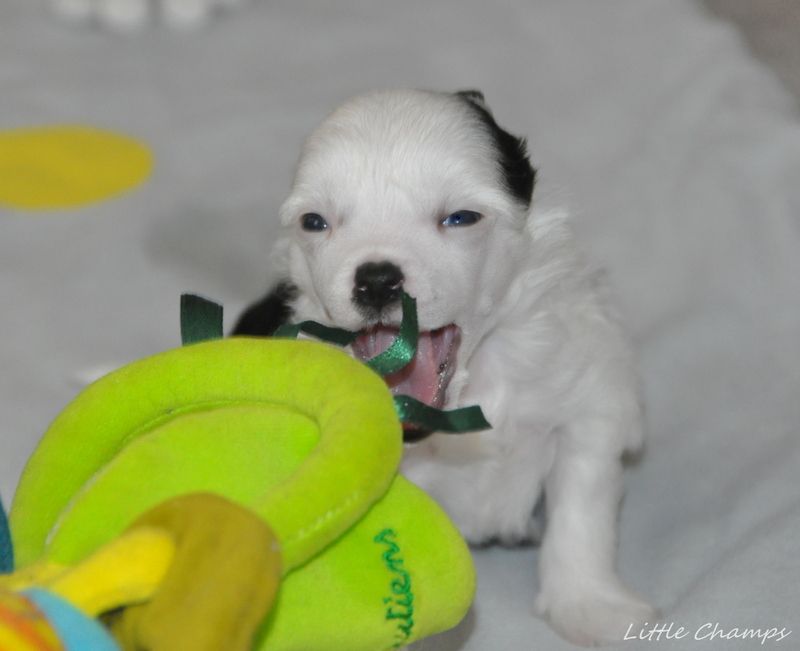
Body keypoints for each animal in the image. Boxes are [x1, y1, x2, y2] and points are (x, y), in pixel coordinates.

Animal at [234, 89, 656, 646]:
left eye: (460, 218)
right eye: (314, 222)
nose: (376, 279)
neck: (472, 392)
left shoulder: (588, 400)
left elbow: (581, 511)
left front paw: (589, 605)